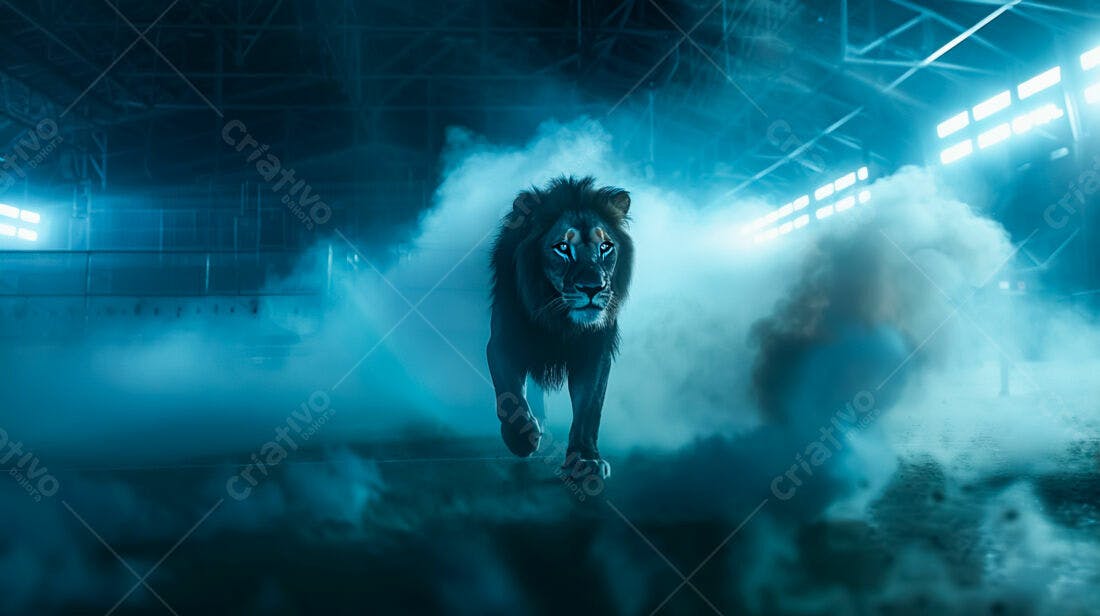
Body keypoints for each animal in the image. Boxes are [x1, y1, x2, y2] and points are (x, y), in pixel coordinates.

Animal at [487, 176, 633, 479]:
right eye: (563, 248)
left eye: (605, 247)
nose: (592, 287)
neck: (558, 317)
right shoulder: (502, 343)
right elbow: (509, 395)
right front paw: (522, 438)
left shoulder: (595, 351)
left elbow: (589, 407)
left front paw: (586, 459)